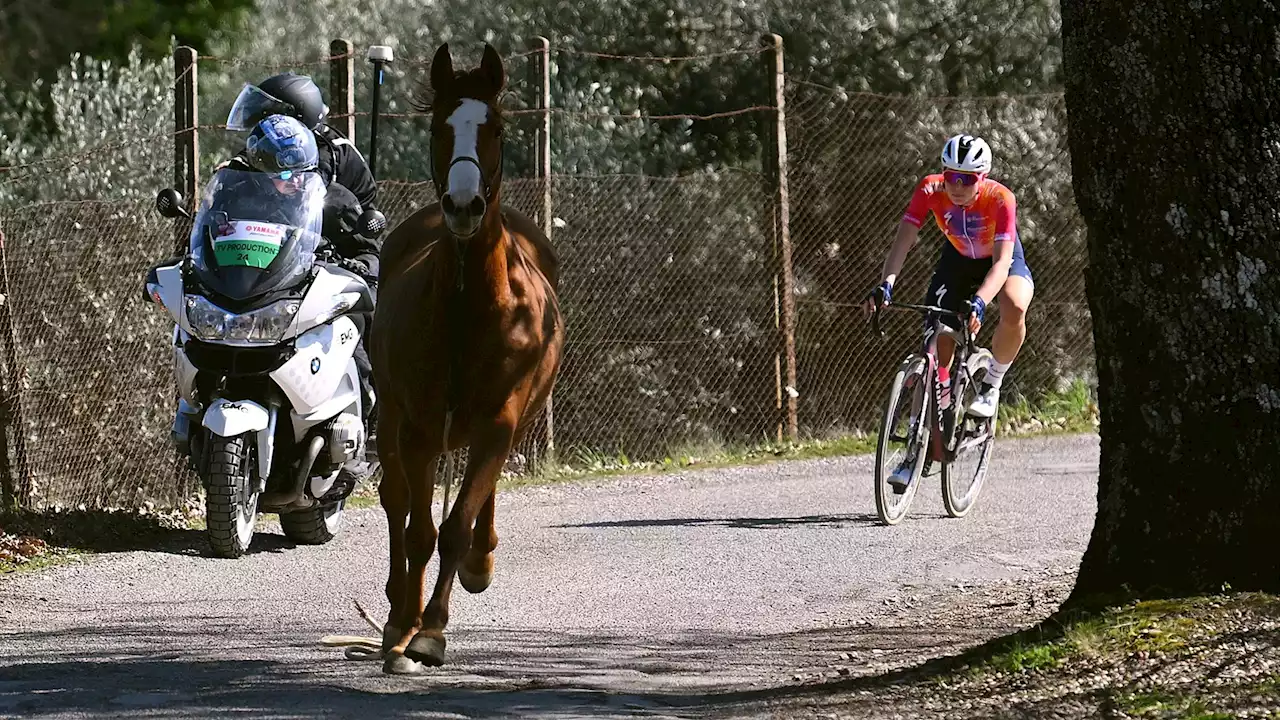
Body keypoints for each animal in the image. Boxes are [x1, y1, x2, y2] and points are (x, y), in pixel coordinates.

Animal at [366, 43, 565, 671]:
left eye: (495, 127)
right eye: (438, 127)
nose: (462, 204)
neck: (466, 306)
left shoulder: (500, 418)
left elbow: (456, 525)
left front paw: (432, 629)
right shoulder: (420, 427)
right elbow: (418, 530)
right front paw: (406, 627)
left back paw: (478, 562)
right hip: (397, 420)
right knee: (397, 506)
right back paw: (395, 611)